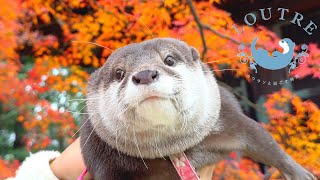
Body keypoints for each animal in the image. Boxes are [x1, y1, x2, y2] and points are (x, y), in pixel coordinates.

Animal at [80, 38, 316, 180]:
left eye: (169, 59)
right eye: (119, 73)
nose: (145, 74)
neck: (174, 152)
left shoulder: (230, 118)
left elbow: (265, 141)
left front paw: (300, 174)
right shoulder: (103, 160)